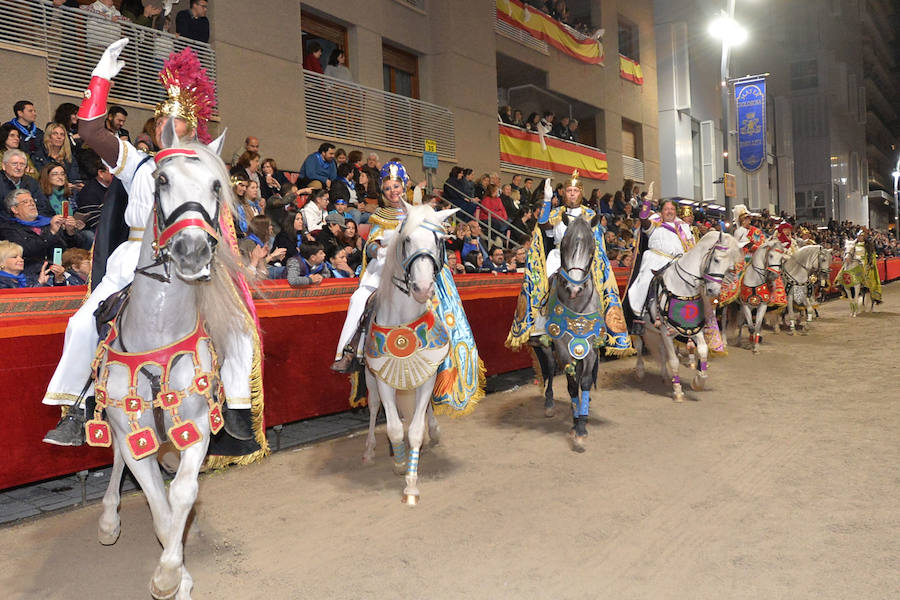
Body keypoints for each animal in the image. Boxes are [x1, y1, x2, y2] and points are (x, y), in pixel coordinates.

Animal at [90, 135, 250, 600]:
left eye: (216, 185)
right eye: (162, 180)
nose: (192, 251)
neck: (158, 332)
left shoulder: (195, 427)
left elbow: (182, 493)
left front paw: (169, 571)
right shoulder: (133, 431)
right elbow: (158, 505)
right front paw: (175, 577)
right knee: (118, 461)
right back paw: (109, 520)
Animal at [360, 204, 458, 504]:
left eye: (439, 241)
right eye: (406, 240)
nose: (423, 288)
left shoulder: (427, 375)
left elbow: (414, 429)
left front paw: (411, 485)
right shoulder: (382, 377)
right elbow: (393, 427)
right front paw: (400, 463)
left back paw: (432, 434)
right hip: (368, 378)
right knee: (373, 408)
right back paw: (369, 449)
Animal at [628, 232, 740, 400]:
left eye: (729, 267)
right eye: (716, 259)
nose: (713, 291)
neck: (682, 288)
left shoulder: (692, 329)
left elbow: (703, 350)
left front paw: (699, 381)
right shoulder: (665, 331)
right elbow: (674, 360)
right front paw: (678, 391)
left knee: (661, 350)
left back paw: (665, 376)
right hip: (640, 326)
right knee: (640, 346)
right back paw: (640, 372)